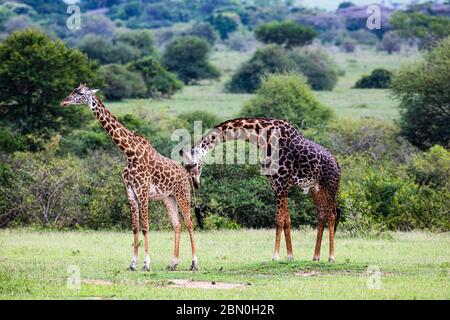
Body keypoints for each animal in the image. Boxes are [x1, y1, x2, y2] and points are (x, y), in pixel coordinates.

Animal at [61, 82, 200, 270]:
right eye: (73, 90)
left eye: (81, 93)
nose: (64, 102)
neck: (129, 153)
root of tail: (186, 173)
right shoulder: (130, 192)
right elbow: (135, 227)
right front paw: (132, 263)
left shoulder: (142, 191)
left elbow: (145, 226)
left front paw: (146, 263)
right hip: (168, 198)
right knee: (177, 224)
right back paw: (173, 263)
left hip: (183, 194)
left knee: (190, 223)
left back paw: (194, 263)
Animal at [180, 117, 342, 262]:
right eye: (185, 166)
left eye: (194, 165)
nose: (195, 183)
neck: (262, 137)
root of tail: (337, 165)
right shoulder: (276, 185)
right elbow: (287, 220)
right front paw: (290, 256)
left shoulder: (281, 183)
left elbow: (279, 219)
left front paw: (276, 256)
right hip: (316, 189)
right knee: (321, 215)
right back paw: (316, 256)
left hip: (329, 186)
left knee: (332, 215)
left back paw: (331, 257)